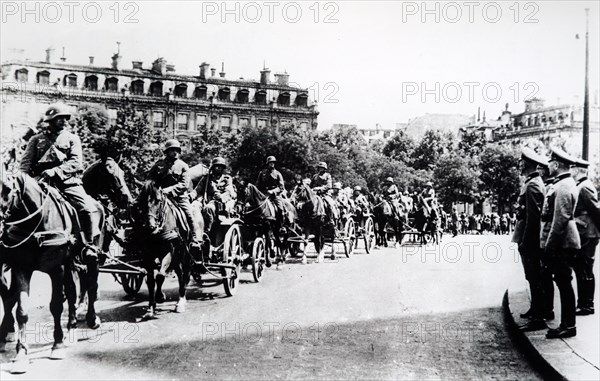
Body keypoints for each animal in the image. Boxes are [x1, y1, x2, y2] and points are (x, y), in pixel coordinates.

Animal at [0, 171, 103, 372]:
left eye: (7, 188)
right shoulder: (21, 268)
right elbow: (21, 310)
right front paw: (21, 355)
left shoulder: (57, 268)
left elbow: (56, 305)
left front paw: (57, 346)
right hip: (71, 264)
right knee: (72, 292)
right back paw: (71, 327)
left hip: (92, 257)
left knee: (91, 285)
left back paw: (92, 319)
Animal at [131, 180, 202, 320]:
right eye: (141, 200)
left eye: (158, 200)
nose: (150, 226)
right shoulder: (147, 256)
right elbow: (151, 281)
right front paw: (150, 308)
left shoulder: (169, 252)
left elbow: (160, 276)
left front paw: (160, 297)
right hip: (177, 258)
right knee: (180, 274)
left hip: (186, 255)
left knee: (185, 275)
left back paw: (181, 301)